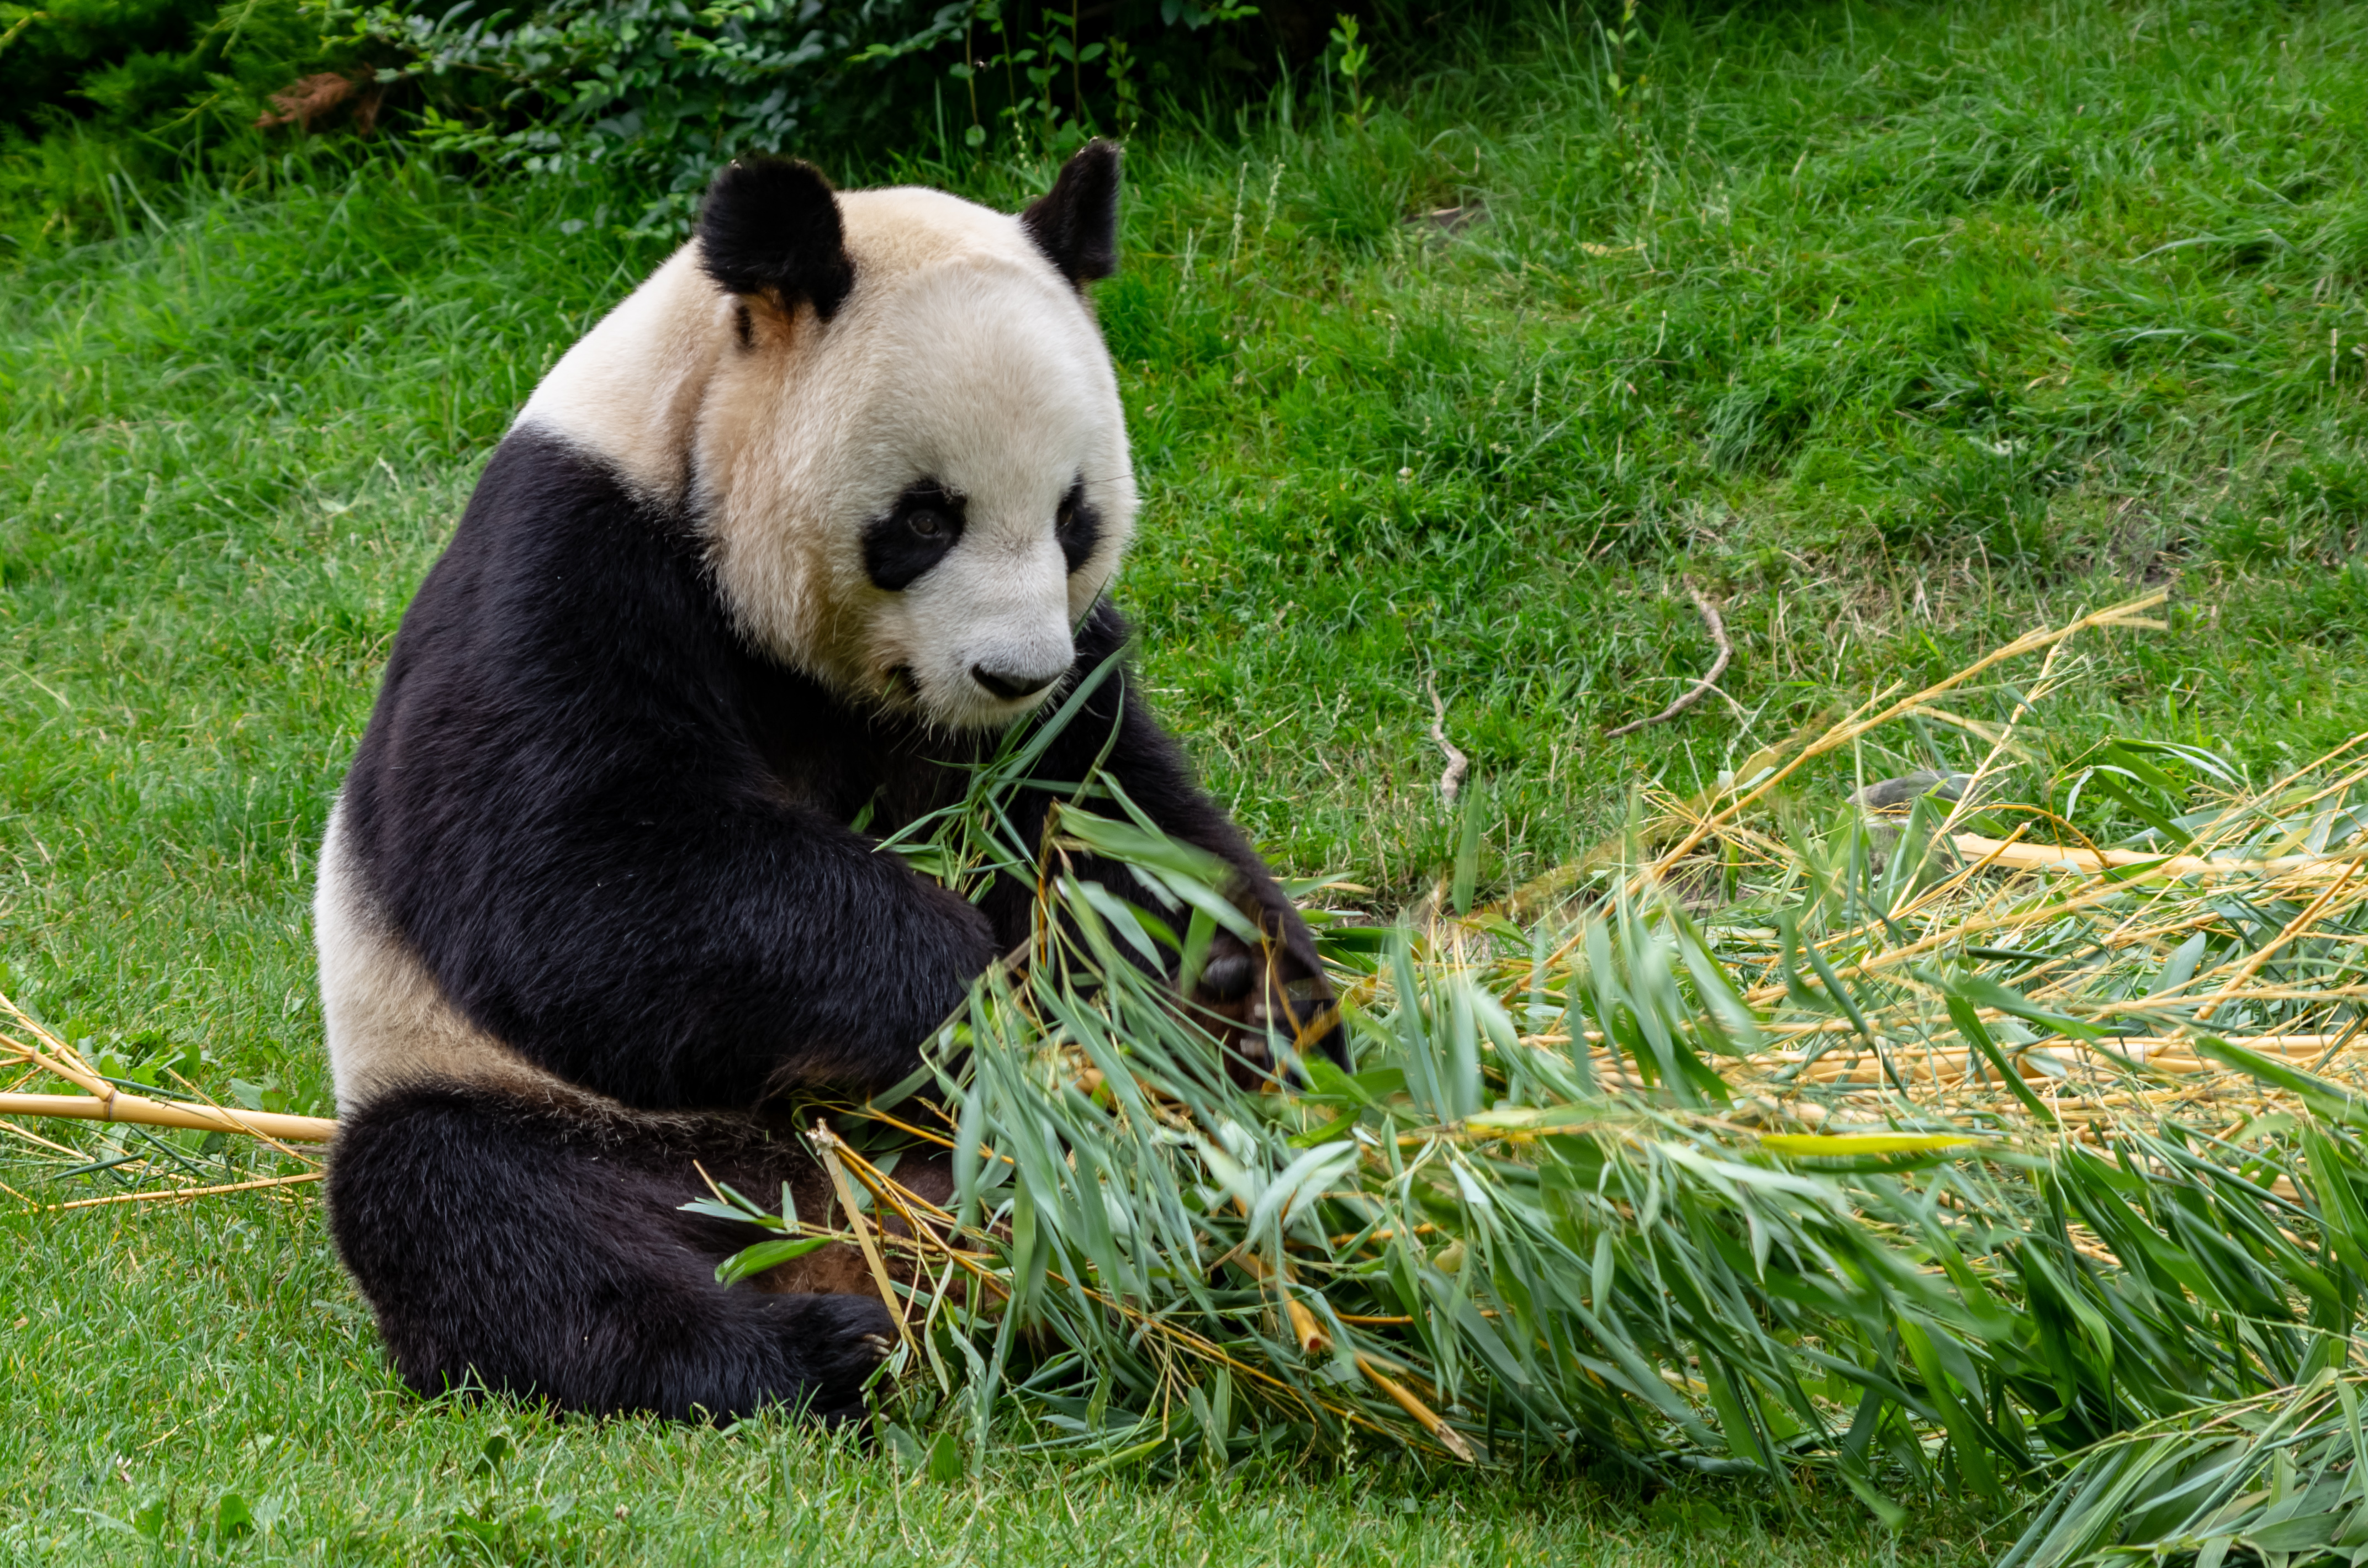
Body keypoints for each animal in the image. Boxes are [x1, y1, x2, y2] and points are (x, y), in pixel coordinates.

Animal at [315, 144, 1345, 1421]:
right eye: (924, 518)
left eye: (1073, 517)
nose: (1012, 675)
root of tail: (847, 1224)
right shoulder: (571, 559)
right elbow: (568, 879)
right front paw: (981, 994)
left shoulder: (1060, 689)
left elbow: (1113, 818)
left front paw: (1235, 996)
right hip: (570, 1115)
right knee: (483, 1211)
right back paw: (823, 1347)